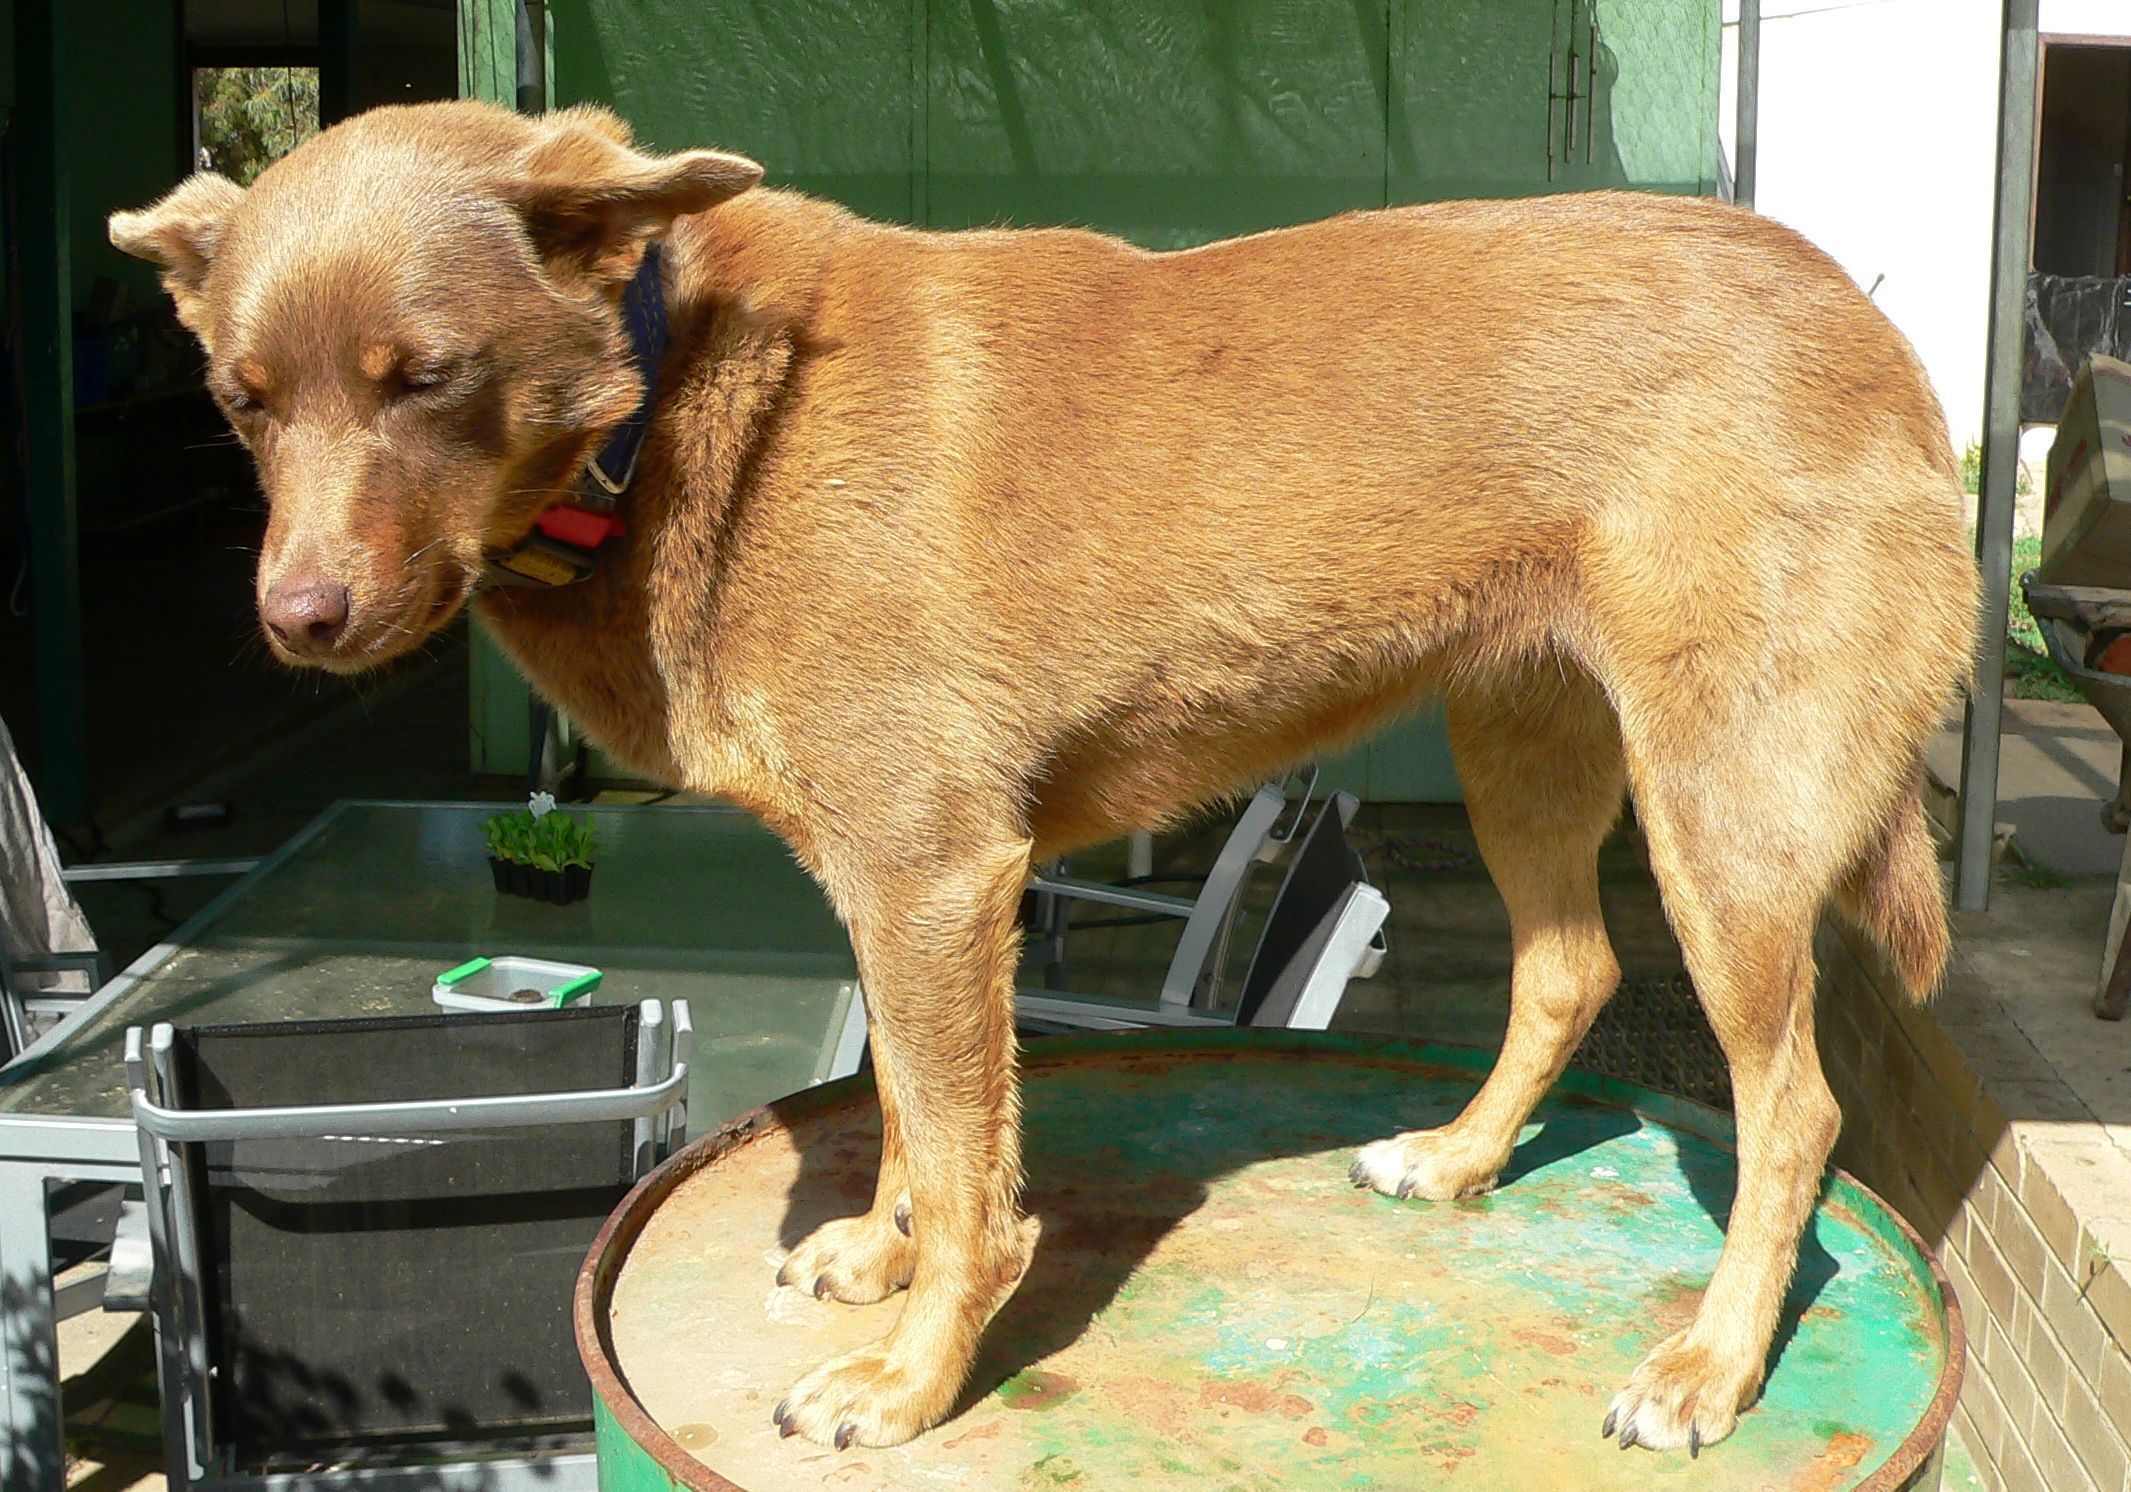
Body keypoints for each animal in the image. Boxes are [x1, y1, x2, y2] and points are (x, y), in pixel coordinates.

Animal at [112, 100, 1979, 1457]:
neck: (695, 403)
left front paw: (912, 1374)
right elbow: (910, 1116)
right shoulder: (890, 886)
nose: (296, 619)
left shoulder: (937, 875)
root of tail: (1871, 327)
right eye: (241, 402)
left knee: (1796, 1111)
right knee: (1569, 966)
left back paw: (1706, 1366)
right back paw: (1455, 1159)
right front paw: (878, 1251)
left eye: (424, 377)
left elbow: (966, 1162)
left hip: (1724, 815)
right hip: (1523, 741)